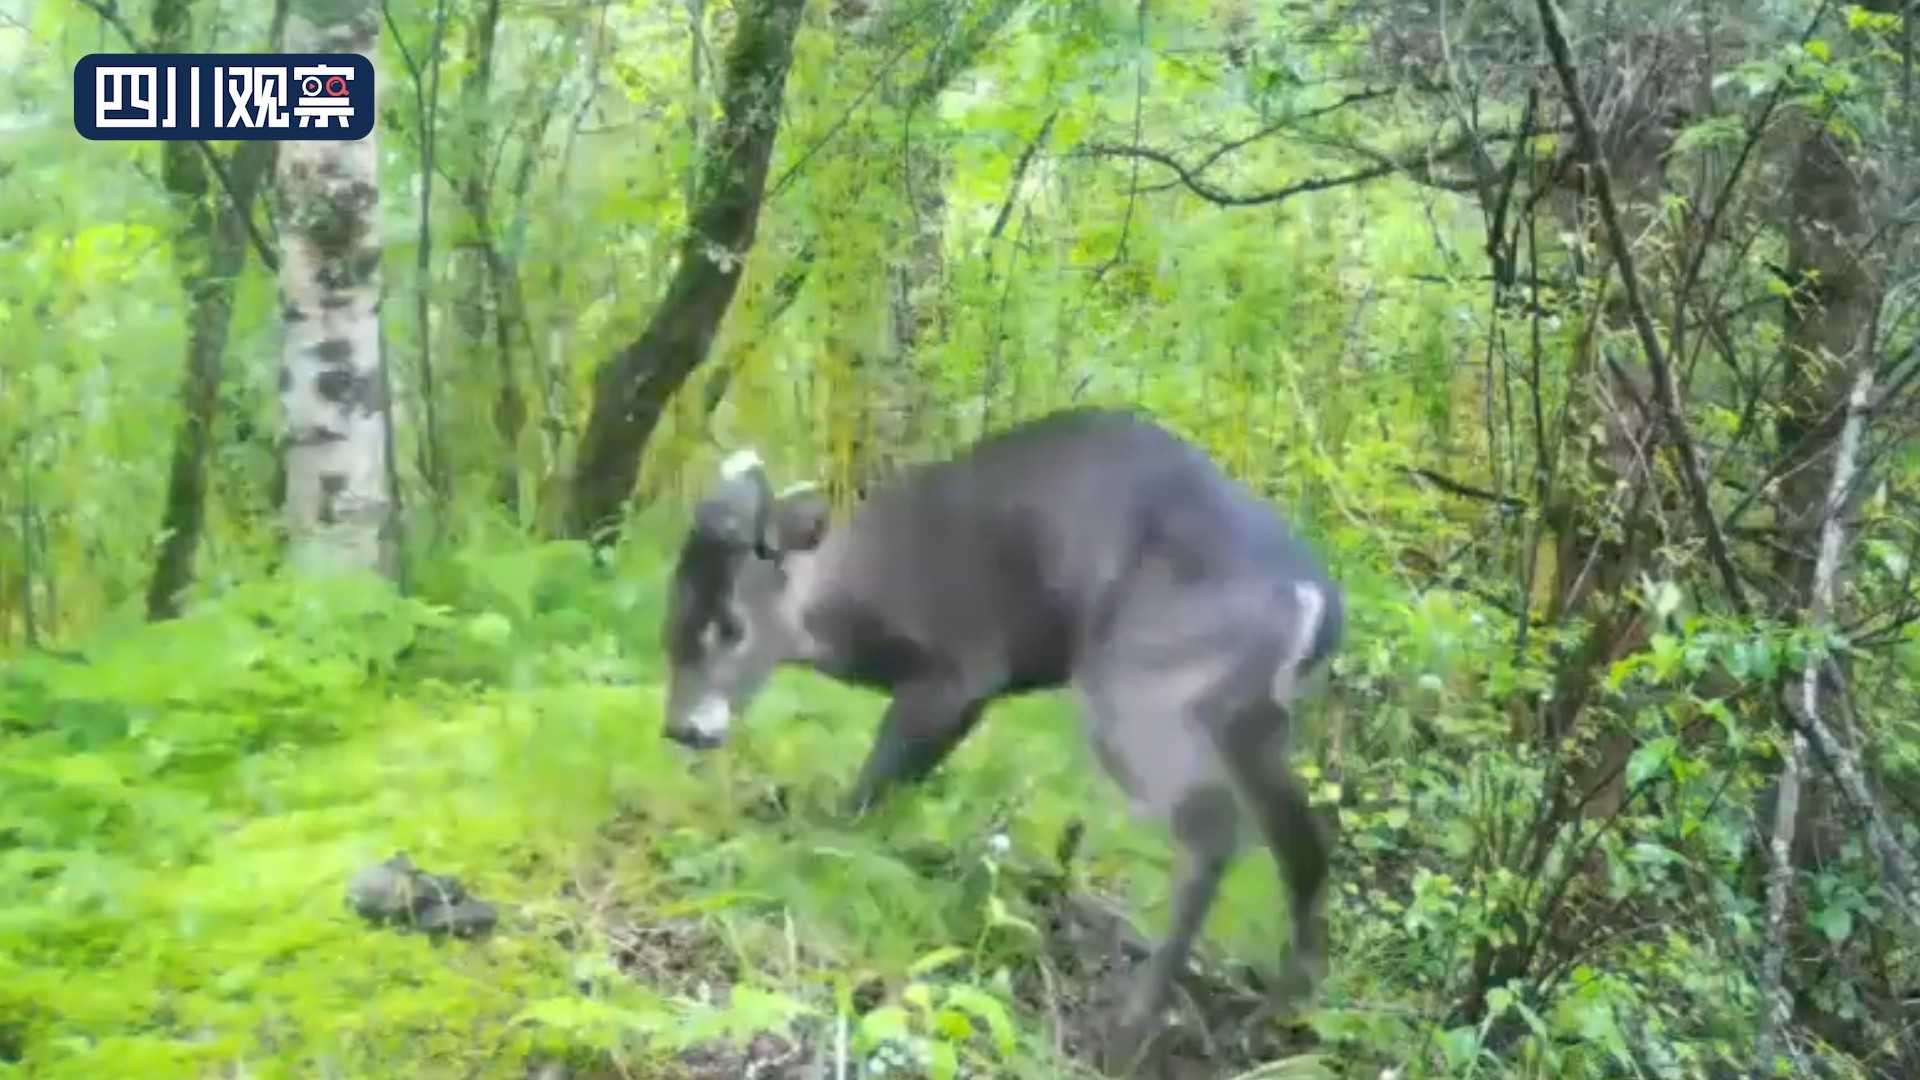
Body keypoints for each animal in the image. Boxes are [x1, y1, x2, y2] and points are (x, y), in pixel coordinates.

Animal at [652, 405, 1344, 1068]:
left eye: (732, 626)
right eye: (672, 614)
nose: (681, 728)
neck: (860, 602)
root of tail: (1315, 599)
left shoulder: (963, 671)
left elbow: (877, 779)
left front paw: (820, 845)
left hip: (1143, 683)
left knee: (1212, 829)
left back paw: (1136, 1020)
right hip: (1252, 720)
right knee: (1302, 841)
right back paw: (1279, 1010)